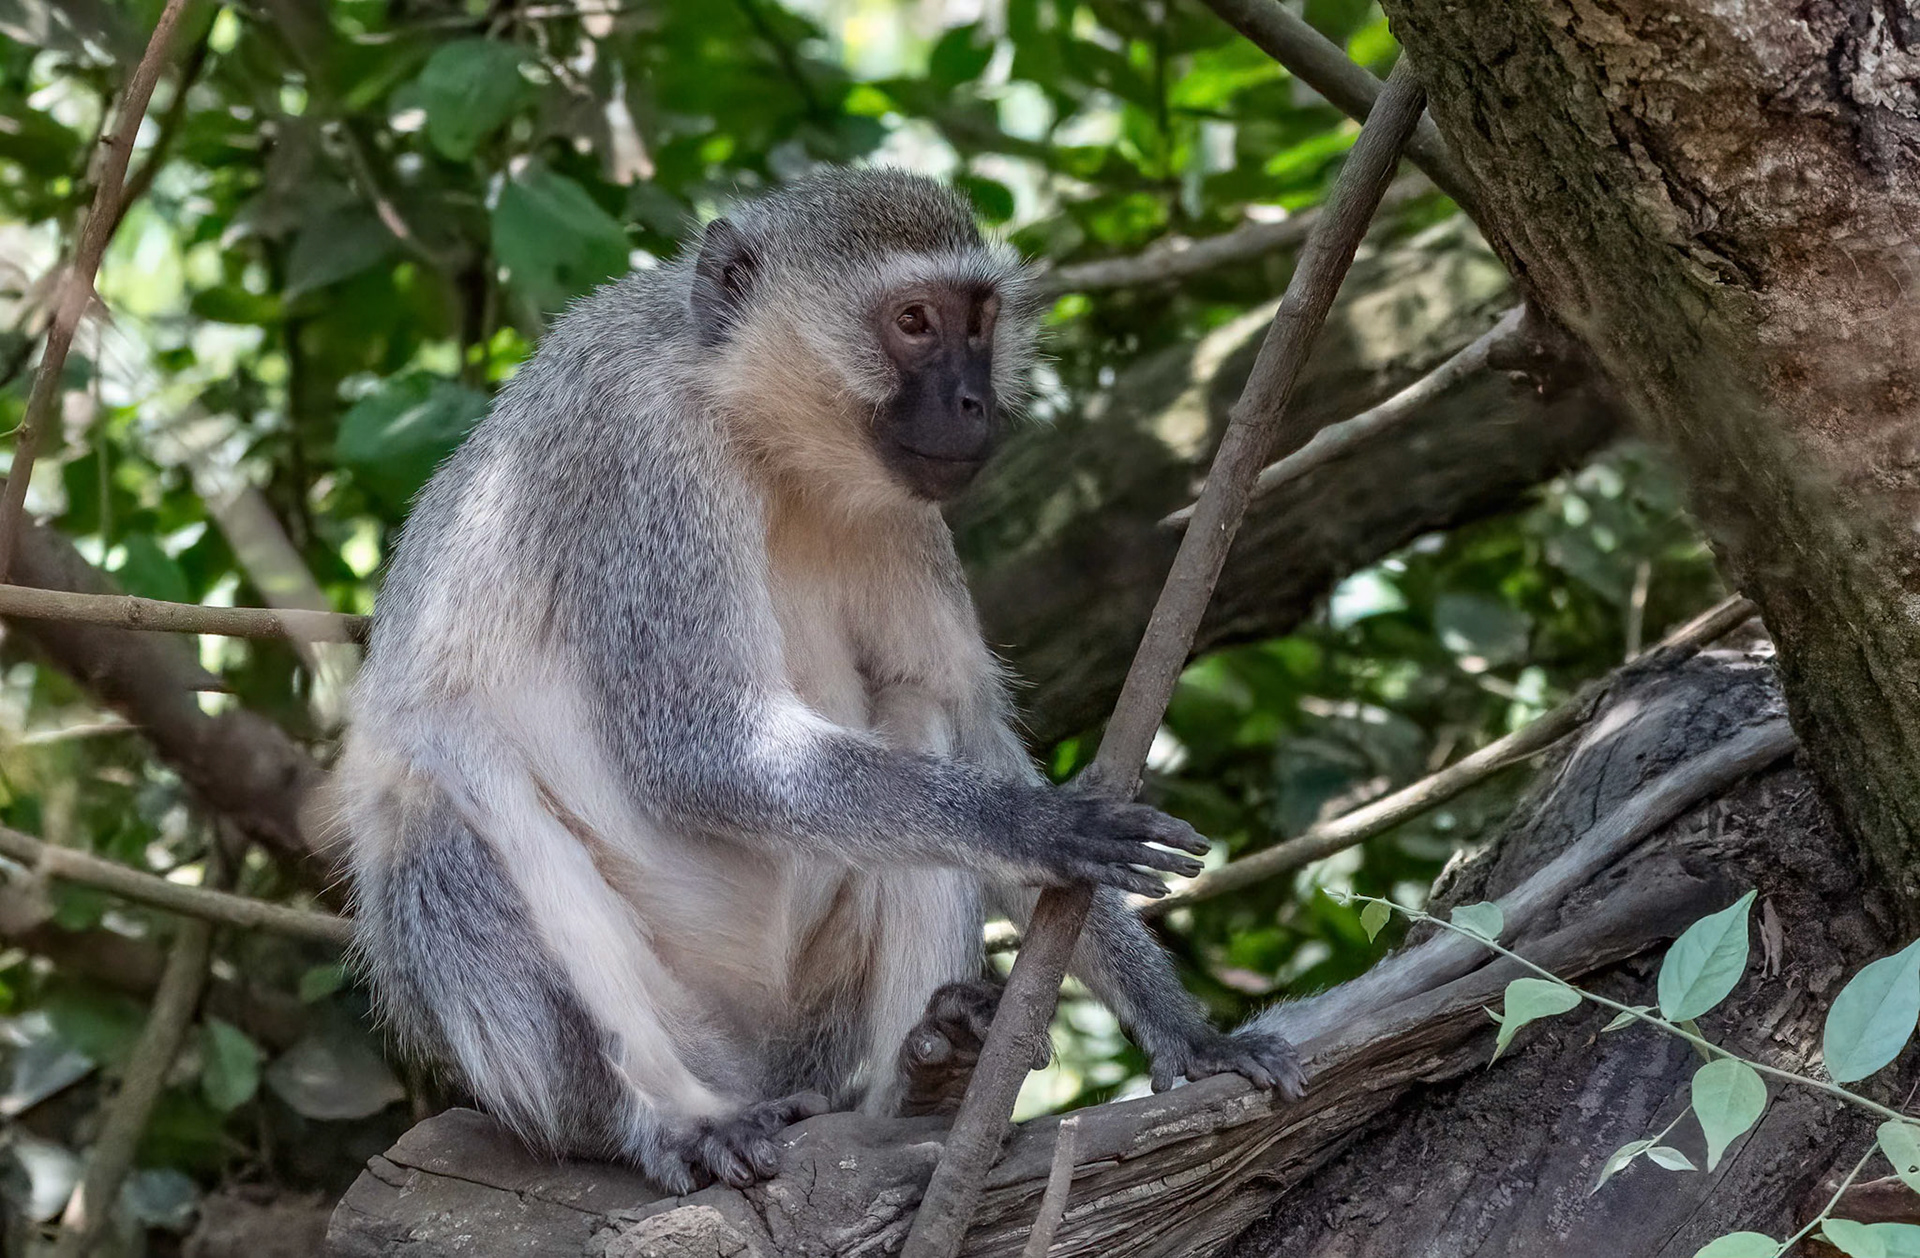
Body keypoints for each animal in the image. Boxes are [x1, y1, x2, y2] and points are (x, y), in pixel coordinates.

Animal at [338, 167, 1306, 1194]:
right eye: (914, 321)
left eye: (979, 320)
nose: (975, 402)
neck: (760, 436)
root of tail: (759, 1072)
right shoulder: (642, 456)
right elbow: (696, 748)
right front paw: (1042, 825)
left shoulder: (910, 515)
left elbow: (969, 729)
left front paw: (1186, 1029)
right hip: (619, 1048)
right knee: (446, 798)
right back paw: (672, 1121)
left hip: (812, 1019)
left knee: (918, 716)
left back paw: (919, 1087)